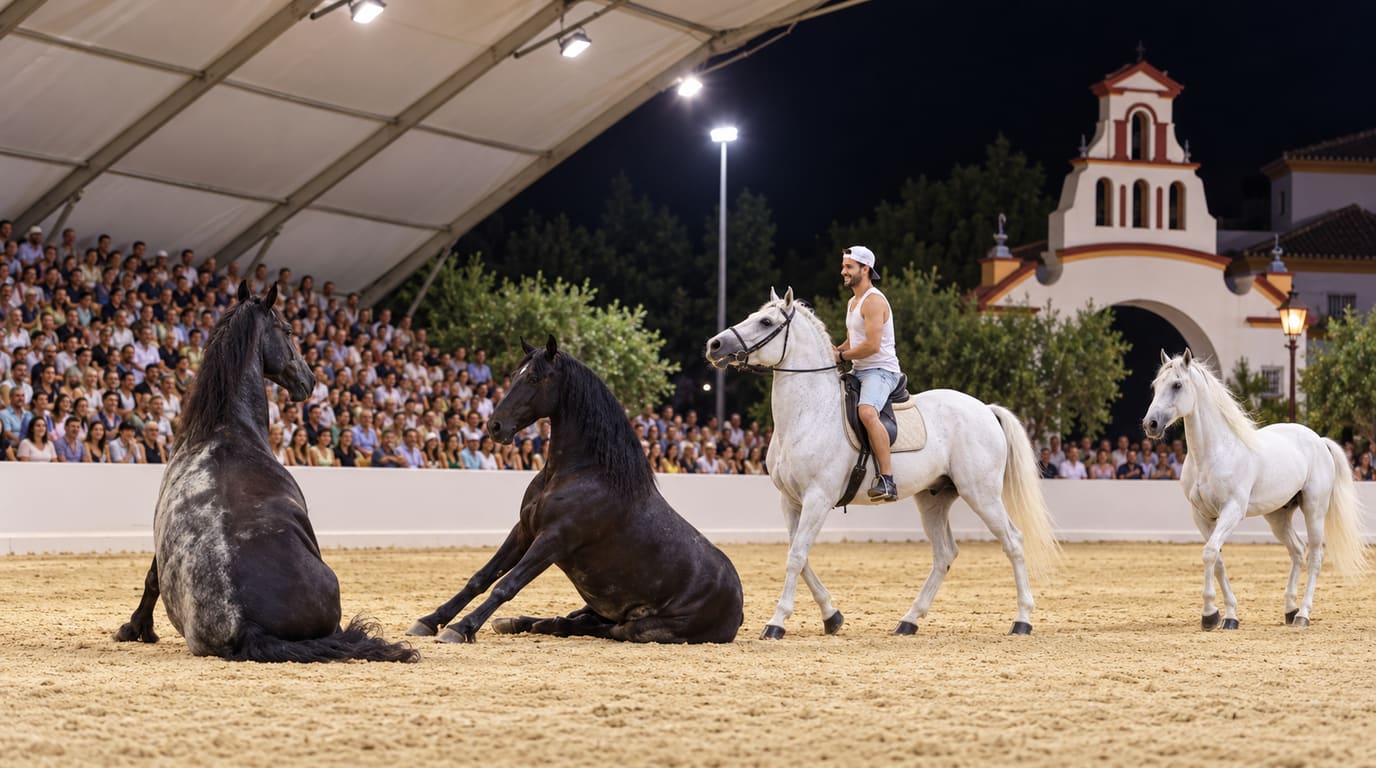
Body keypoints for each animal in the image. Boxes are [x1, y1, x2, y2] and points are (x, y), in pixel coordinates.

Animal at [407, 336, 743, 644]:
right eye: (515, 374)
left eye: (534, 378)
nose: (495, 426)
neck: (579, 474)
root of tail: (737, 606)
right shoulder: (524, 530)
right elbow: (481, 578)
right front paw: (429, 621)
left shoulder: (554, 540)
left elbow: (506, 585)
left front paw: (460, 628)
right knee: (577, 619)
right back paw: (515, 622)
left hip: (645, 628)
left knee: (600, 628)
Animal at [705, 288, 1059, 638]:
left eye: (765, 322)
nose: (715, 345)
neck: (809, 412)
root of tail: (985, 409)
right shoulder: (791, 500)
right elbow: (800, 556)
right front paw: (832, 616)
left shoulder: (818, 498)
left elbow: (796, 557)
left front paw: (777, 622)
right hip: (934, 499)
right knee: (945, 553)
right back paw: (909, 620)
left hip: (981, 494)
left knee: (1013, 542)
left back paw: (1022, 620)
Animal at [1143, 349, 1367, 629]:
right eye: (1155, 386)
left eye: (1176, 385)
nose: (1150, 424)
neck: (1213, 453)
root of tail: (1318, 440)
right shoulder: (1201, 516)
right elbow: (1217, 559)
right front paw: (1225, 614)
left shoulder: (1232, 511)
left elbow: (1209, 553)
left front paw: (1210, 614)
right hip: (1278, 516)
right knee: (1297, 550)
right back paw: (1290, 610)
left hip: (1314, 510)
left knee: (1315, 556)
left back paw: (1303, 615)